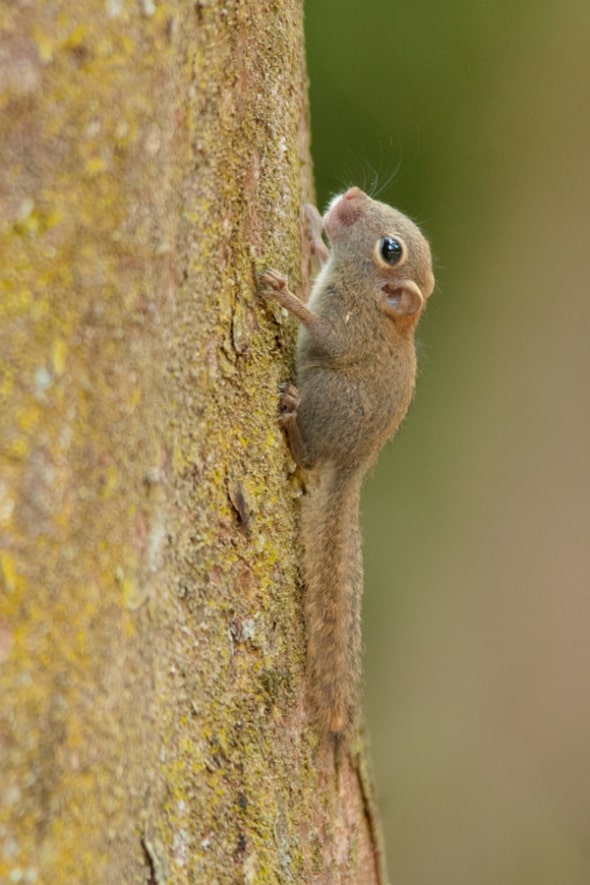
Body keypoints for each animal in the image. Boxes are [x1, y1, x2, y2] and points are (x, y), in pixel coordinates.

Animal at [262, 186, 438, 740]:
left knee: (308, 452)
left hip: (326, 395)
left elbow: (317, 328)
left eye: (390, 249)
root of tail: (356, 463)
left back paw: (292, 424)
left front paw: (283, 295)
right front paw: (311, 236)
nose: (353, 196)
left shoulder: (347, 331)